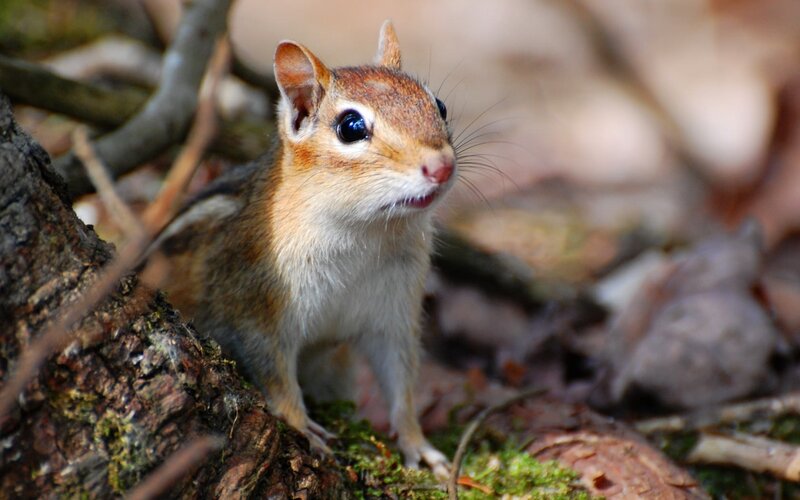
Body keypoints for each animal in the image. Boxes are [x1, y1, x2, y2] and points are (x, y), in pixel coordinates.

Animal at [157, 21, 455, 476]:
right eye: (351, 127)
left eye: (439, 105)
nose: (442, 166)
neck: (365, 234)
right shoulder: (257, 305)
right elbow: (274, 372)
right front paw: (302, 425)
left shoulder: (394, 314)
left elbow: (401, 379)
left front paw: (417, 443)